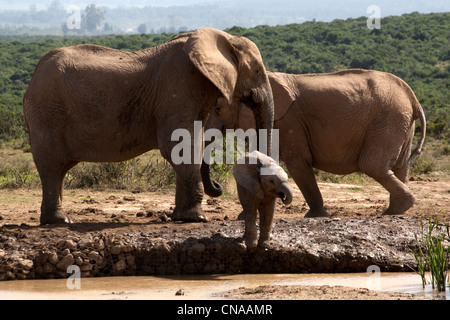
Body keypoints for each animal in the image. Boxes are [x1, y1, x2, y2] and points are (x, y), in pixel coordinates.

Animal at [24, 28, 274, 225]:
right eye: (257, 71)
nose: (218, 185)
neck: (222, 39)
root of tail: (33, 78)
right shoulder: (178, 88)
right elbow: (180, 146)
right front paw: (196, 218)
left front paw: (180, 217)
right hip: (47, 111)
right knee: (52, 166)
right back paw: (59, 221)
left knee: (59, 170)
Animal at [203, 69, 426, 218]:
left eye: (217, 110)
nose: (217, 186)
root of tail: (413, 98)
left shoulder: (288, 122)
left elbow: (297, 163)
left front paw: (316, 216)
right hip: (400, 121)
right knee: (400, 166)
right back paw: (395, 210)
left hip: (389, 119)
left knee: (373, 165)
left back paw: (395, 209)